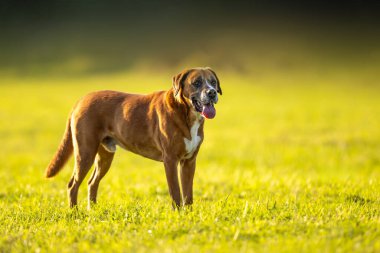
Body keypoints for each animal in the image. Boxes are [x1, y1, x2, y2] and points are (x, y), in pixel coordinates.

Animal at [45, 66, 221, 208]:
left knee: (92, 183)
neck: (185, 112)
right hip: (85, 153)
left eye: (213, 82)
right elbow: (176, 192)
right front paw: (177, 214)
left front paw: (188, 215)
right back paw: (74, 213)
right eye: (196, 82)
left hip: (105, 156)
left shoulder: (189, 162)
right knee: (72, 185)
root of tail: (81, 100)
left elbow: (188, 194)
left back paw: (92, 210)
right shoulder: (170, 160)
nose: (212, 92)